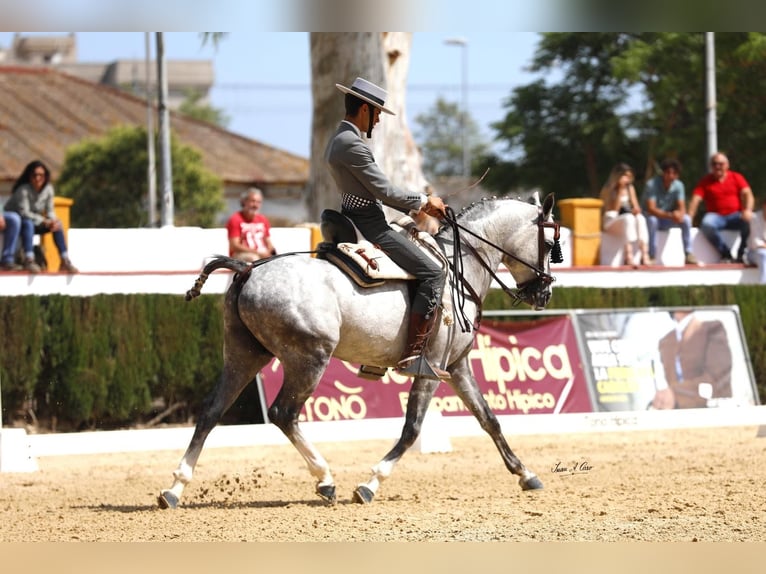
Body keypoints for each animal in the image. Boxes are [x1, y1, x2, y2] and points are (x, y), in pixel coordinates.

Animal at [158, 192, 564, 508]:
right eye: (549, 244)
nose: (544, 293)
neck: (458, 271)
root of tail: (247, 269)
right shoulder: (431, 367)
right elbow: (412, 428)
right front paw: (371, 483)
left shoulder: (456, 366)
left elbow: (489, 419)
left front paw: (526, 474)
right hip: (309, 359)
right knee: (284, 414)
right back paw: (324, 479)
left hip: (245, 356)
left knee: (212, 412)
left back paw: (175, 487)